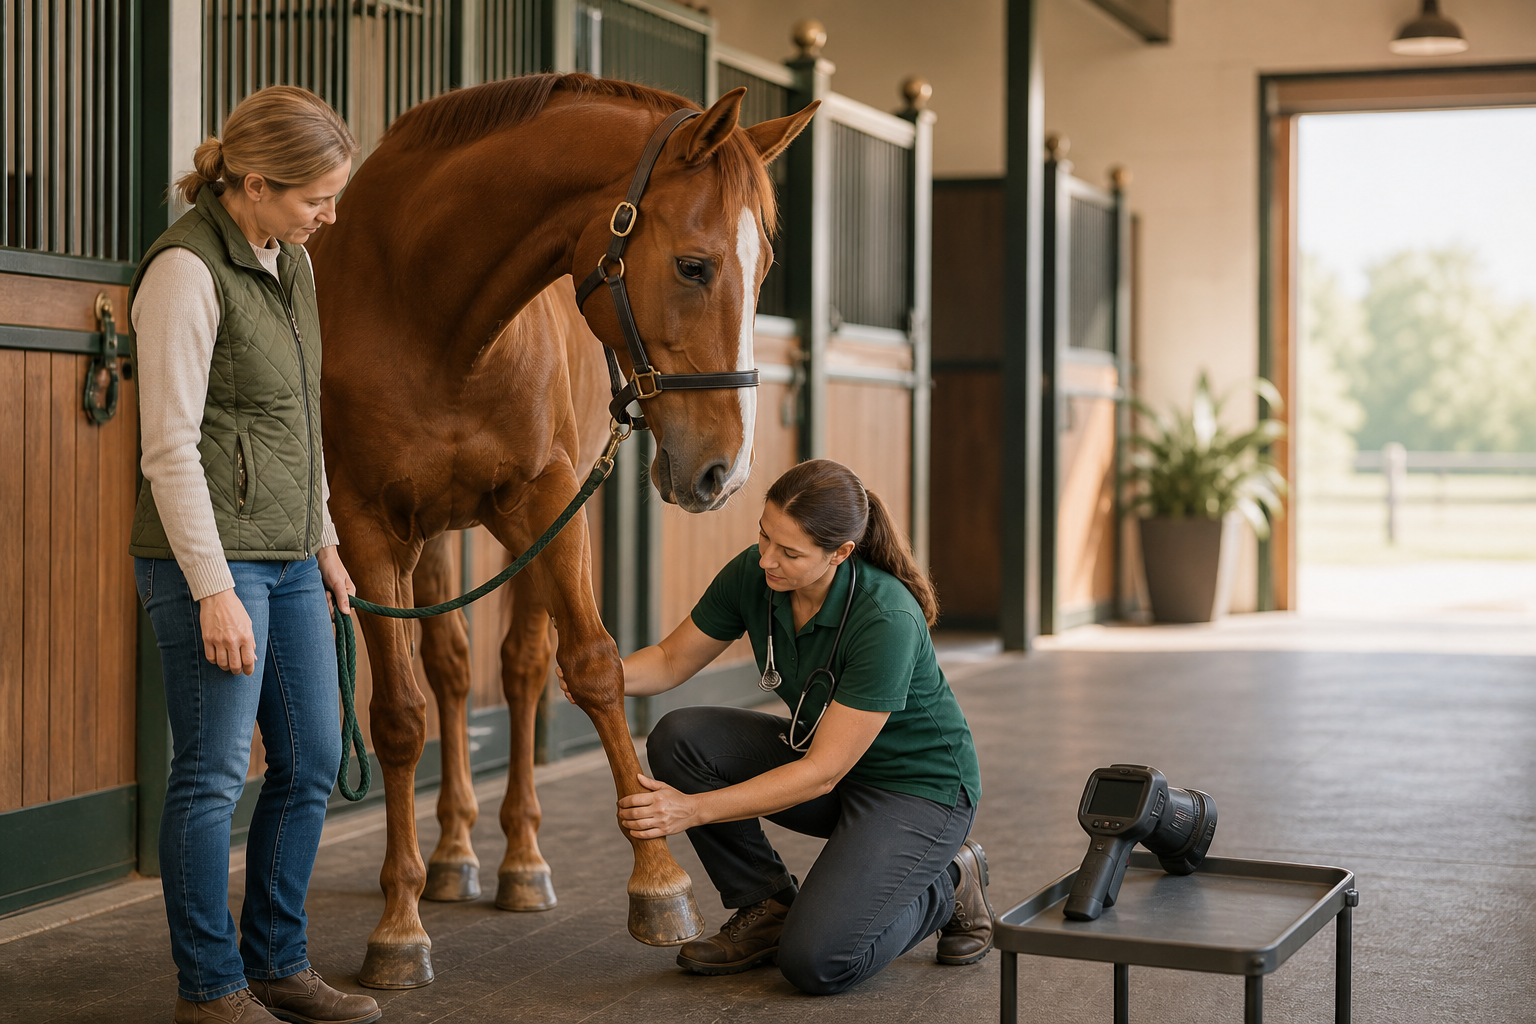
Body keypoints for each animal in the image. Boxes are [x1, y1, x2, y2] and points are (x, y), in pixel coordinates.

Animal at [309, 72, 817, 989]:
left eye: (763, 269)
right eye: (694, 265)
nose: (725, 471)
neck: (428, 309)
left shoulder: (547, 502)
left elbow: (591, 667)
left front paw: (659, 884)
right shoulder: (366, 527)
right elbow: (400, 716)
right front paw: (399, 929)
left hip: (517, 537)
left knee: (516, 671)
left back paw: (518, 862)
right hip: (429, 539)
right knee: (450, 671)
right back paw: (450, 855)